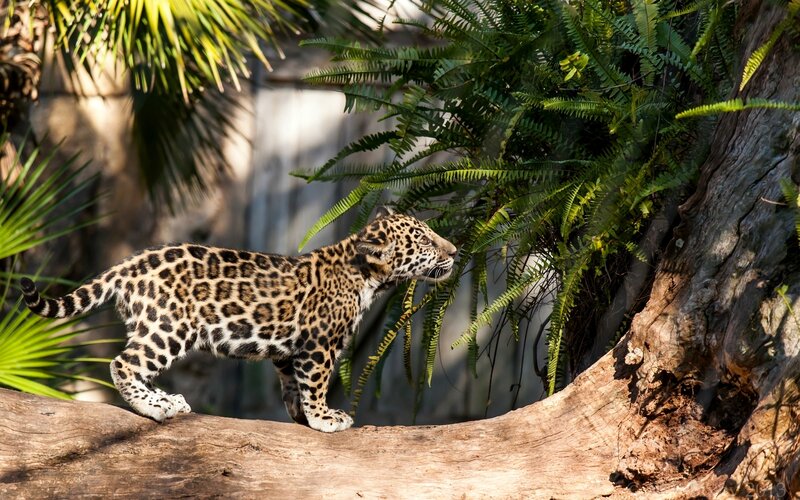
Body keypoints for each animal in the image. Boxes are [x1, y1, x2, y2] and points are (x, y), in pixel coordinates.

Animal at [20, 208, 457, 432]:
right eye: (424, 240)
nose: (454, 250)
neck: (367, 275)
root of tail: (130, 264)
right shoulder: (319, 345)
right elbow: (315, 383)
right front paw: (324, 417)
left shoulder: (289, 350)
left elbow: (291, 384)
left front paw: (301, 416)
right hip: (169, 327)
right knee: (123, 363)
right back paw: (156, 408)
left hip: (149, 324)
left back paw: (167, 399)